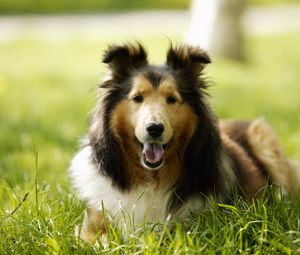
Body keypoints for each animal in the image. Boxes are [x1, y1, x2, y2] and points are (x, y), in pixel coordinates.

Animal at [68, 41, 300, 243]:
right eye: (137, 98)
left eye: (171, 99)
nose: (155, 128)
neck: (152, 178)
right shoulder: (92, 225)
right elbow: (104, 240)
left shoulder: (200, 224)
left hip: (262, 135)